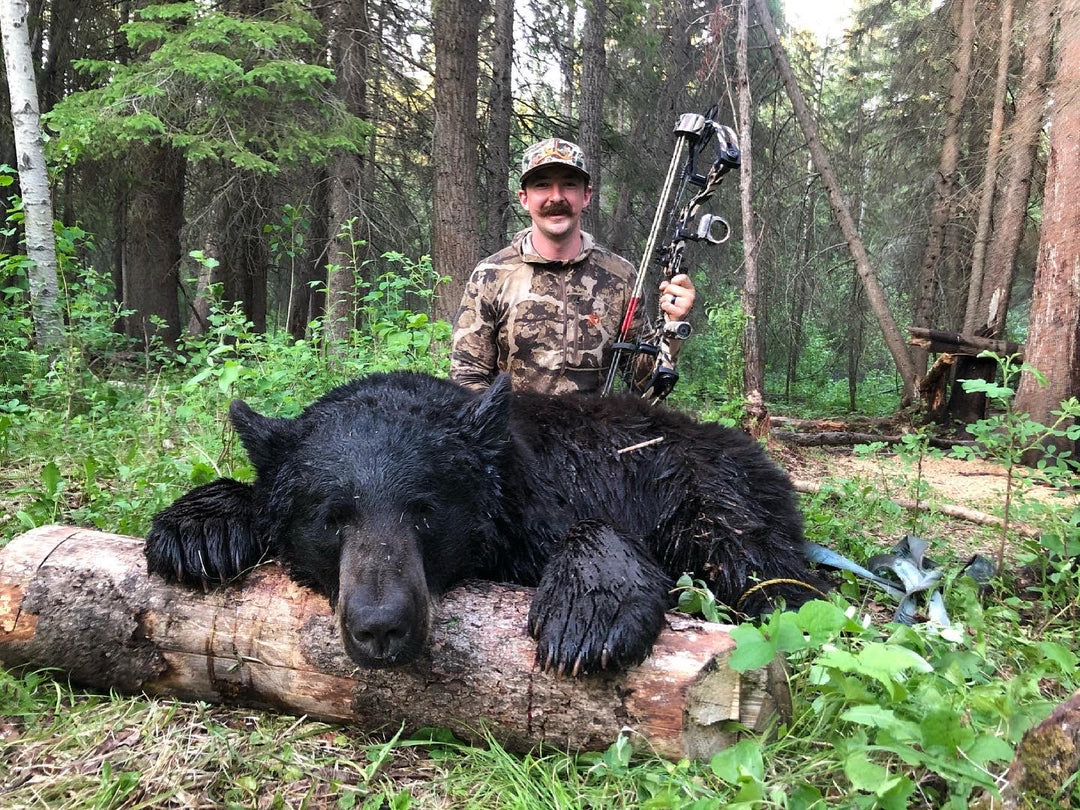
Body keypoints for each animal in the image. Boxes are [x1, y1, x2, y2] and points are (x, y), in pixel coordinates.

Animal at [145, 371, 827, 676]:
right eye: (332, 518)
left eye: (424, 509)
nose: (380, 627)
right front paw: (197, 528)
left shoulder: (550, 495)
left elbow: (594, 528)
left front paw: (587, 617)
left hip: (719, 493)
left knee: (767, 571)